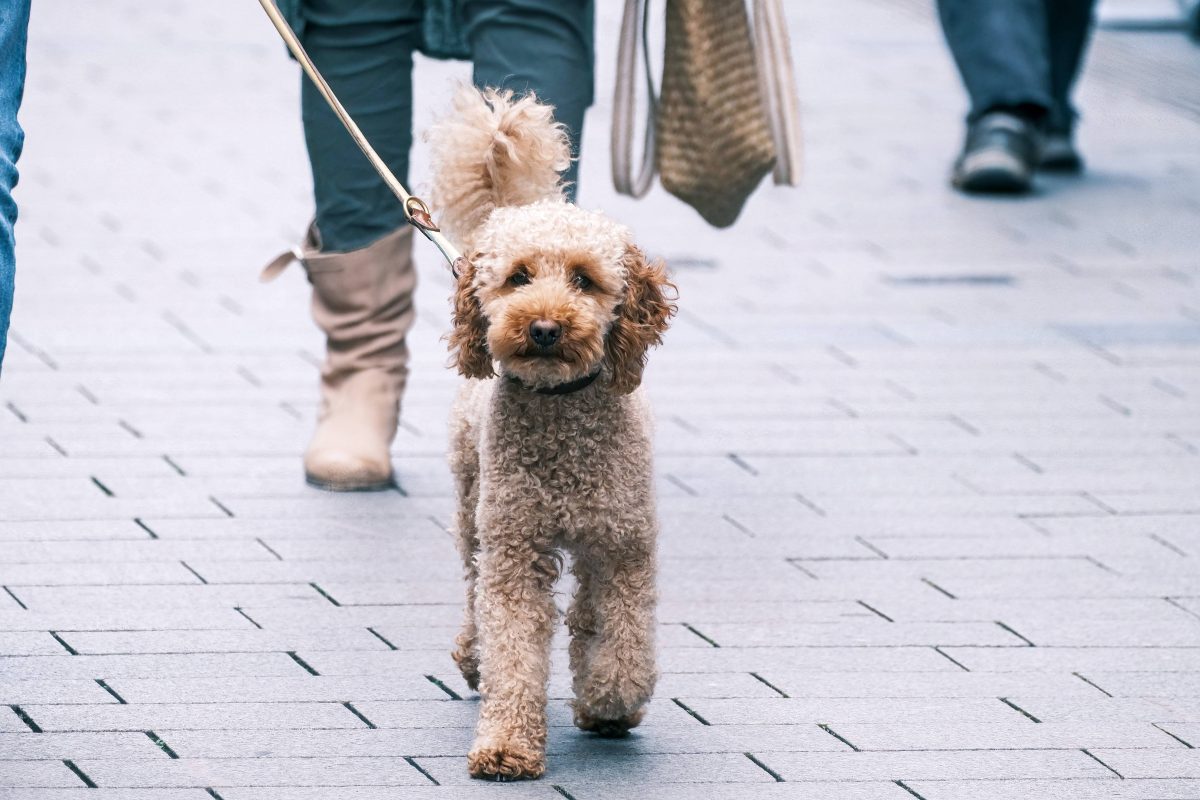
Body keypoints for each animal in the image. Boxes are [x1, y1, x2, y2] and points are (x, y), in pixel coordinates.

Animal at [429, 89, 676, 782]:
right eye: (518, 277)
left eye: (584, 279)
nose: (542, 327)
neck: (562, 417)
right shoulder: (515, 553)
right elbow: (514, 647)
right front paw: (507, 746)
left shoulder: (624, 547)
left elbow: (625, 643)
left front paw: (609, 698)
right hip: (474, 508)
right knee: (474, 590)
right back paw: (473, 656)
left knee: (589, 610)